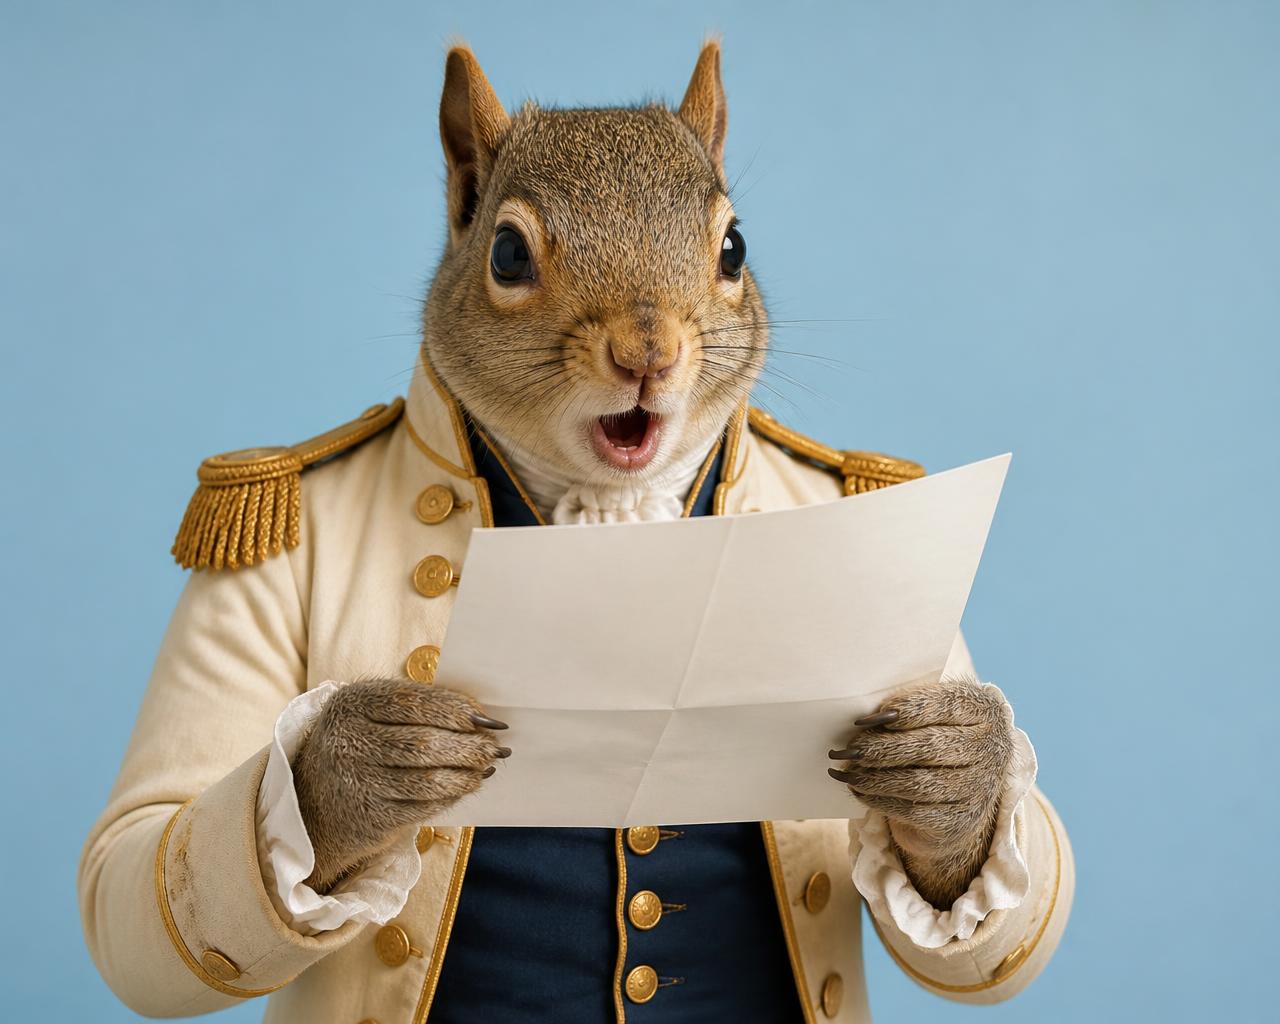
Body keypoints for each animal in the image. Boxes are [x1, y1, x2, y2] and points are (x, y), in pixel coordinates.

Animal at [293, 40, 1017, 912]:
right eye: (507, 253)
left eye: (735, 248)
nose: (648, 354)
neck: (617, 509)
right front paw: (365, 757)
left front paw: (952, 764)